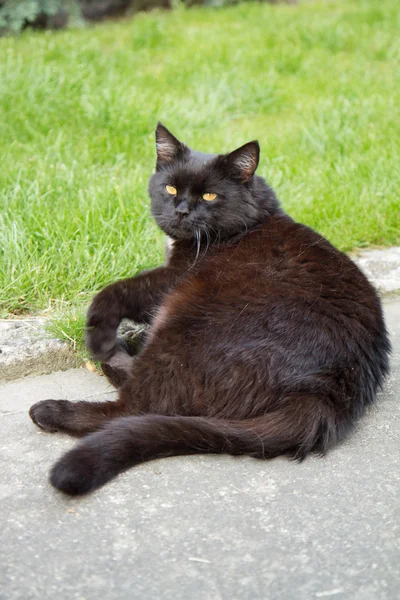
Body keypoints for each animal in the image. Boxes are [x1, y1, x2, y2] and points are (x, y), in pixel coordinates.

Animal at [30, 123, 390, 496]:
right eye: (170, 188)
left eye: (209, 197)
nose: (182, 210)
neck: (249, 221)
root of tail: (324, 393)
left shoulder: (171, 279)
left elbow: (117, 289)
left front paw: (99, 336)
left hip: (184, 317)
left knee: (135, 407)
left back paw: (59, 404)